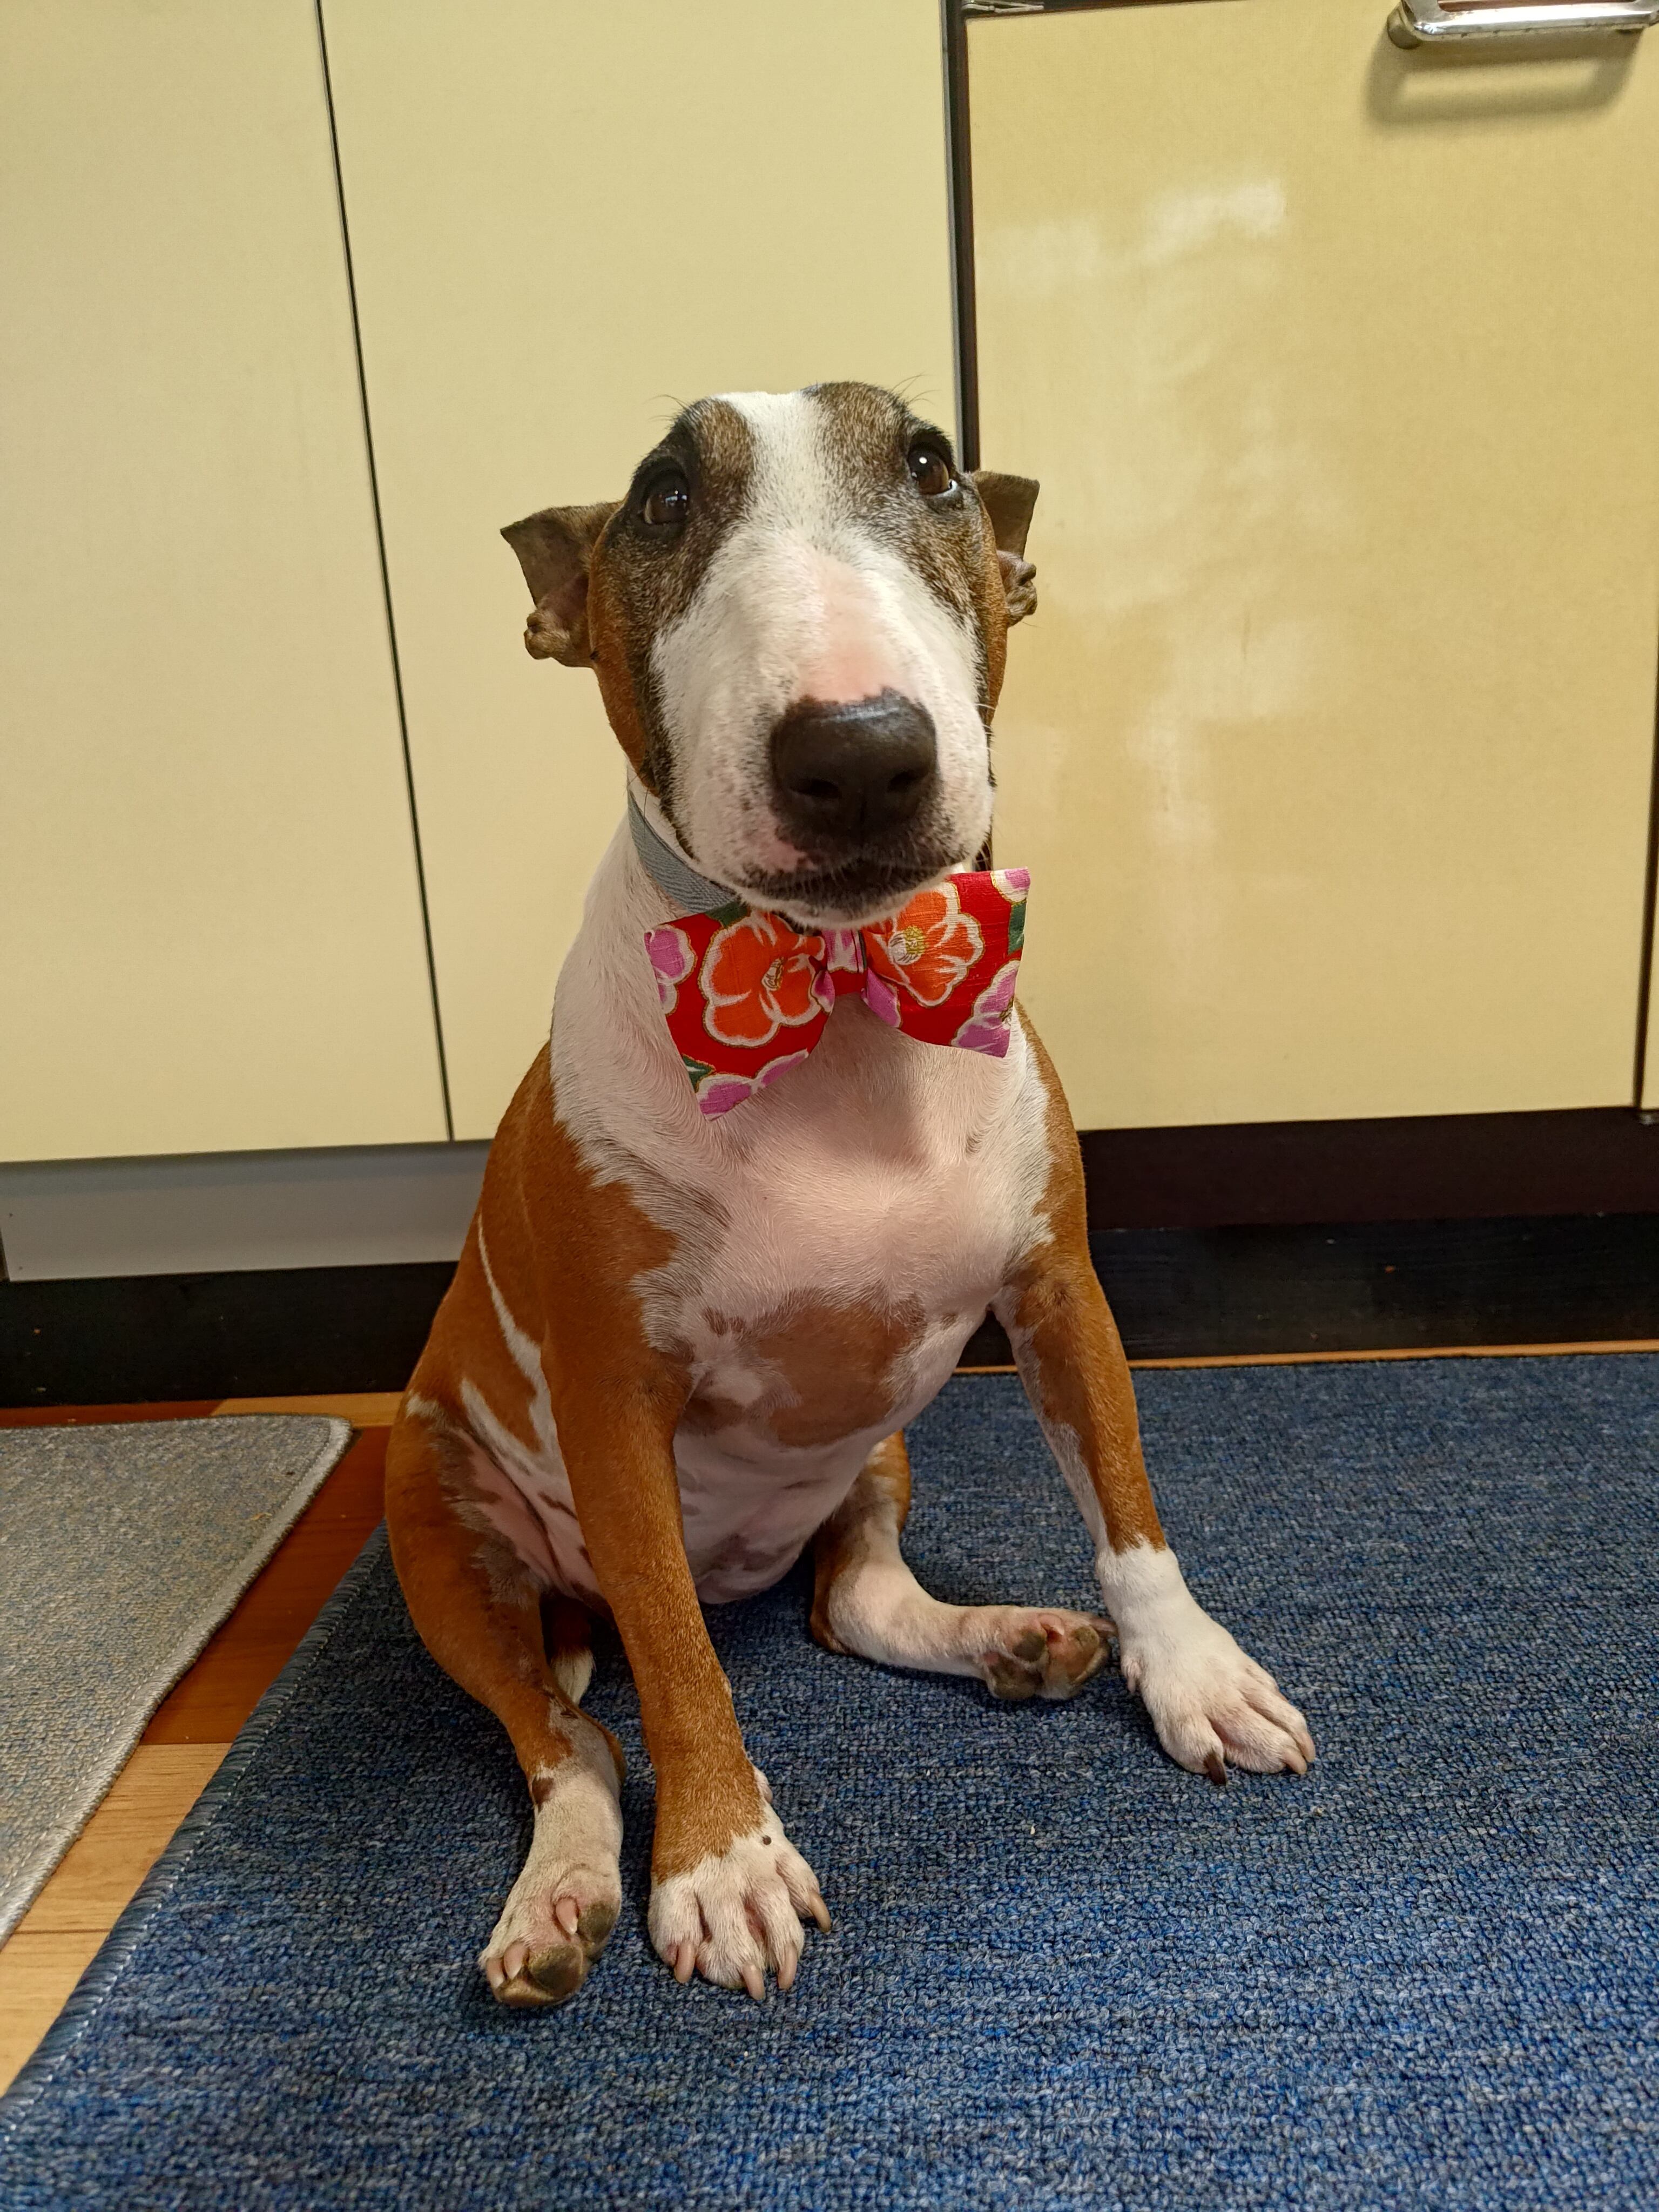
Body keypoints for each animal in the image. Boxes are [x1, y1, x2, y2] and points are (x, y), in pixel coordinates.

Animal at [385, 381, 1313, 2010]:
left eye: (933, 464)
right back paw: (559, 1897)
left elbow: (1128, 1507)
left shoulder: (1057, 1286)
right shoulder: (612, 1399)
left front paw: (1193, 1674)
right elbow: (674, 1668)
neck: (840, 1001)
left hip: (874, 1450)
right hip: (439, 1526)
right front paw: (719, 1862)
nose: (861, 751)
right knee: (572, 1732)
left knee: (849, 1601)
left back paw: (1011, 1641)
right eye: (662, 497)